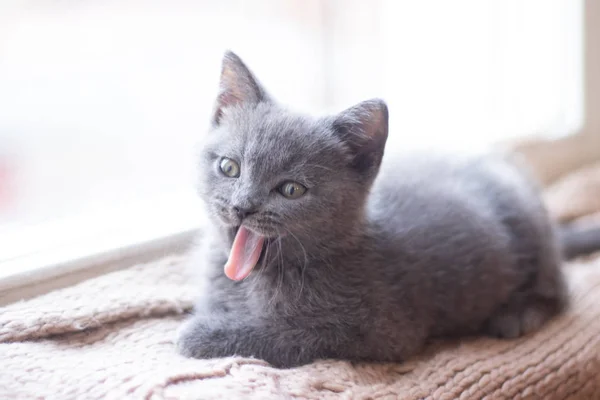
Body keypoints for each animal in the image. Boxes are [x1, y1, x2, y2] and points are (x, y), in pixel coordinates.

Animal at [176, 50, 600, 368]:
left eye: (291, 189)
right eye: (229, 167)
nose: (242, 206)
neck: (253, 282)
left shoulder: (380, 330)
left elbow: (289, 335)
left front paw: (201, 334)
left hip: (532, 237)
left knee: (559, 290)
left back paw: (518, 314)